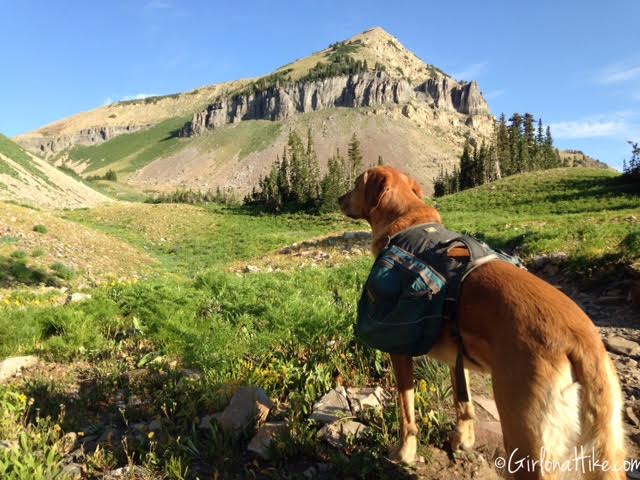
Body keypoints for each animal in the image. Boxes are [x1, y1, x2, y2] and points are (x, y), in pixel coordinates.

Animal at [340, 167, 624, 478]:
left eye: (356, 184)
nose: (339, 199)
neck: (408, 221)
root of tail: (584, 342)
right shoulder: (458, 357)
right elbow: (464, 405)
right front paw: (462, 440)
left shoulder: (399, 351)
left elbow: (407, 412)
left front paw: (405, 454)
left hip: (526, 441)